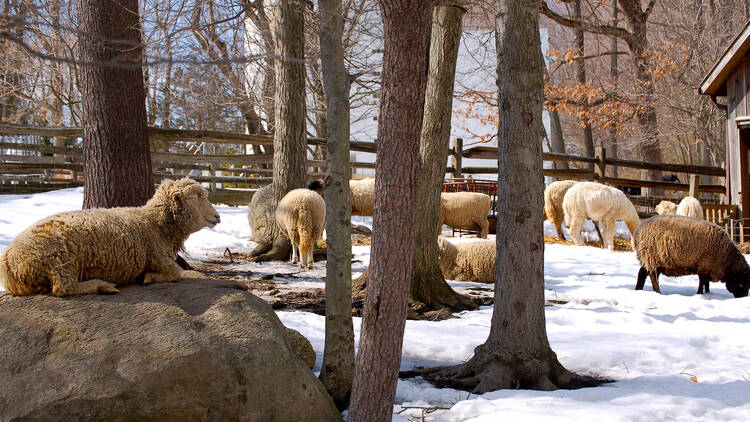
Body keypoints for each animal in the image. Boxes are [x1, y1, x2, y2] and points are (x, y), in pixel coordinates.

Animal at [1, 178, 220, 296]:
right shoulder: (158, 257)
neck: (154, 223)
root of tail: (9, 262)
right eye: (192, 197)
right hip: (59, 261)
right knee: (63, 289)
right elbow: (176, 273)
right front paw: (148, 277)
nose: (217, 216)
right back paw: (102, 285)